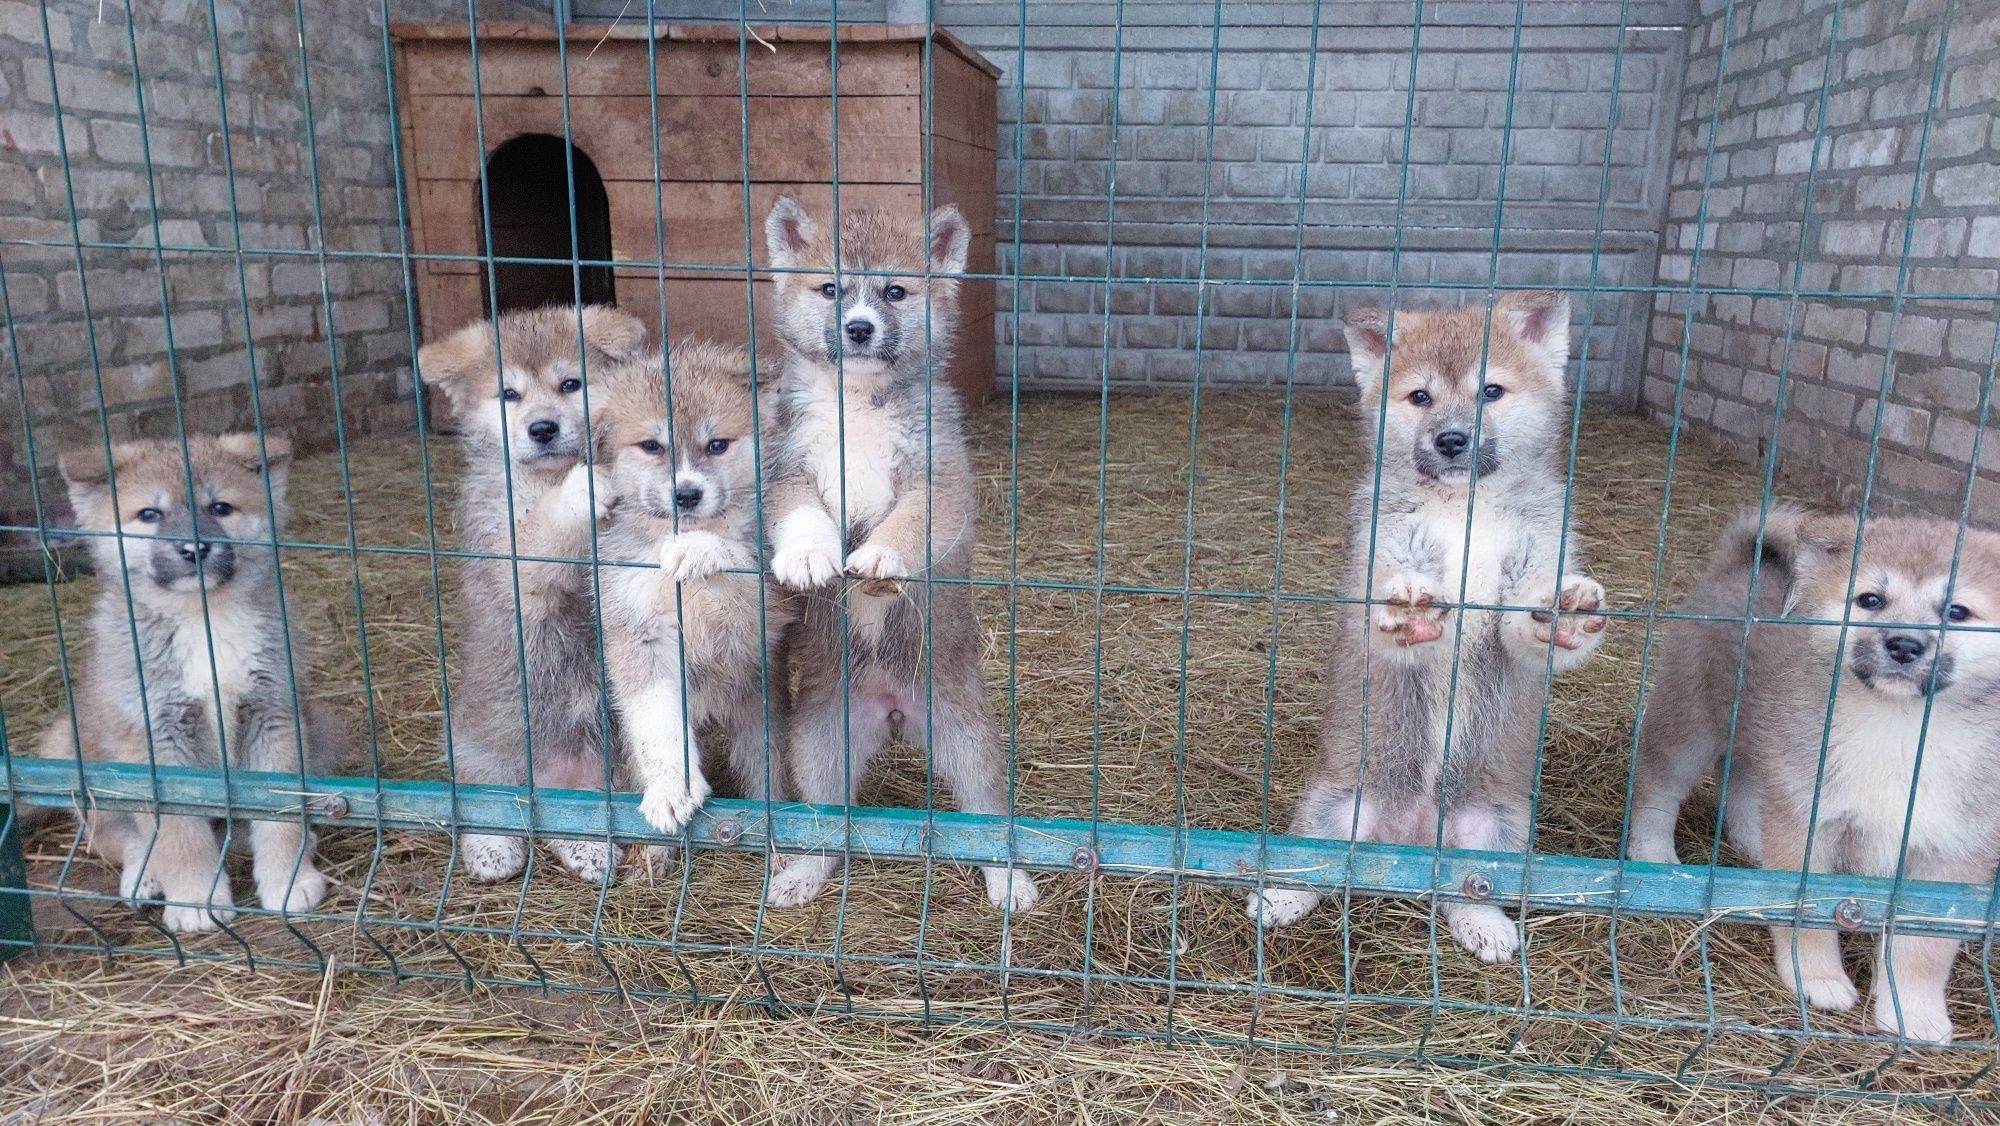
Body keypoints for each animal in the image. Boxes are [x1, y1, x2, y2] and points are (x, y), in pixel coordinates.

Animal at [40, 432, 348, 936]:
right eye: (149, 514)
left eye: (219, 508)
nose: (194, 548)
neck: (202, 620)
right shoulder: (158, 740)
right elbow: (180, 836)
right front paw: (197, 901)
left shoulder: (272, 717)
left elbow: (279, 819)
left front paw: (288, 880)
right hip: (70, 747)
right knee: (115, 836)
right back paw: (144, 876)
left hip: (321, 729)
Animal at [416, 304, 648, 884]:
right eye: (509, 394)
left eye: (570, 384)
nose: (543, 428)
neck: (545, 479)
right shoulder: (512, 562)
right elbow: (542, 532)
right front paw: (583, 490)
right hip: (484, 746)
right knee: (495, 804)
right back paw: (491, 845)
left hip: (614, 766)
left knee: (577, 817)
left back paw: (590, 848)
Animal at [756, 196, 1040, 916]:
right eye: (830, 290)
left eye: (893, 292)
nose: (858, 328)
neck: (856, 407)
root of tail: (890, 706)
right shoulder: (785, 473)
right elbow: (802, 518)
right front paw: (808, 558)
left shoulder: (938, 483)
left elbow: (909, 525)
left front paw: (881, 557)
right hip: (818, 744)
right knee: (830, 826)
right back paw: (803, 872)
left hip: (968, 738)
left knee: (989, 815)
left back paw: (1011, 882)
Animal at [1248, 294, 1608, 968]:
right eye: (1419, 396)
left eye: (1491, 390)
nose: (1450, 439)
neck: (1466, 509)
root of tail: (1413, 840)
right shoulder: (1381, 561)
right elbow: (1393, 607)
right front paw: (1412, 604)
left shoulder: (1528, 576)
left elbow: (1531, 623)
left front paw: (1564, 610)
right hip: (1333, 809)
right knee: (1319, 867)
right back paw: (1281, 898)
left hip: (1494, 832)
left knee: (1467, 889)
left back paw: (1484, 926)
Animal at [1624, 506, 2000, 1048]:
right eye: (1871, 600)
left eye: (1957, 611)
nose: (1903, 644)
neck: (1899, 729)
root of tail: (1744, 562)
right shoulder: (1810, 824)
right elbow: (1810, 919)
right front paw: (1815, 978)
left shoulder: (1950, 858)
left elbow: (1922, 950)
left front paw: (1913, 1013)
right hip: (1694, 722)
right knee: (1659, 785)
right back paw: (1653, 853)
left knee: (1742, 782)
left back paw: (1754, 844)